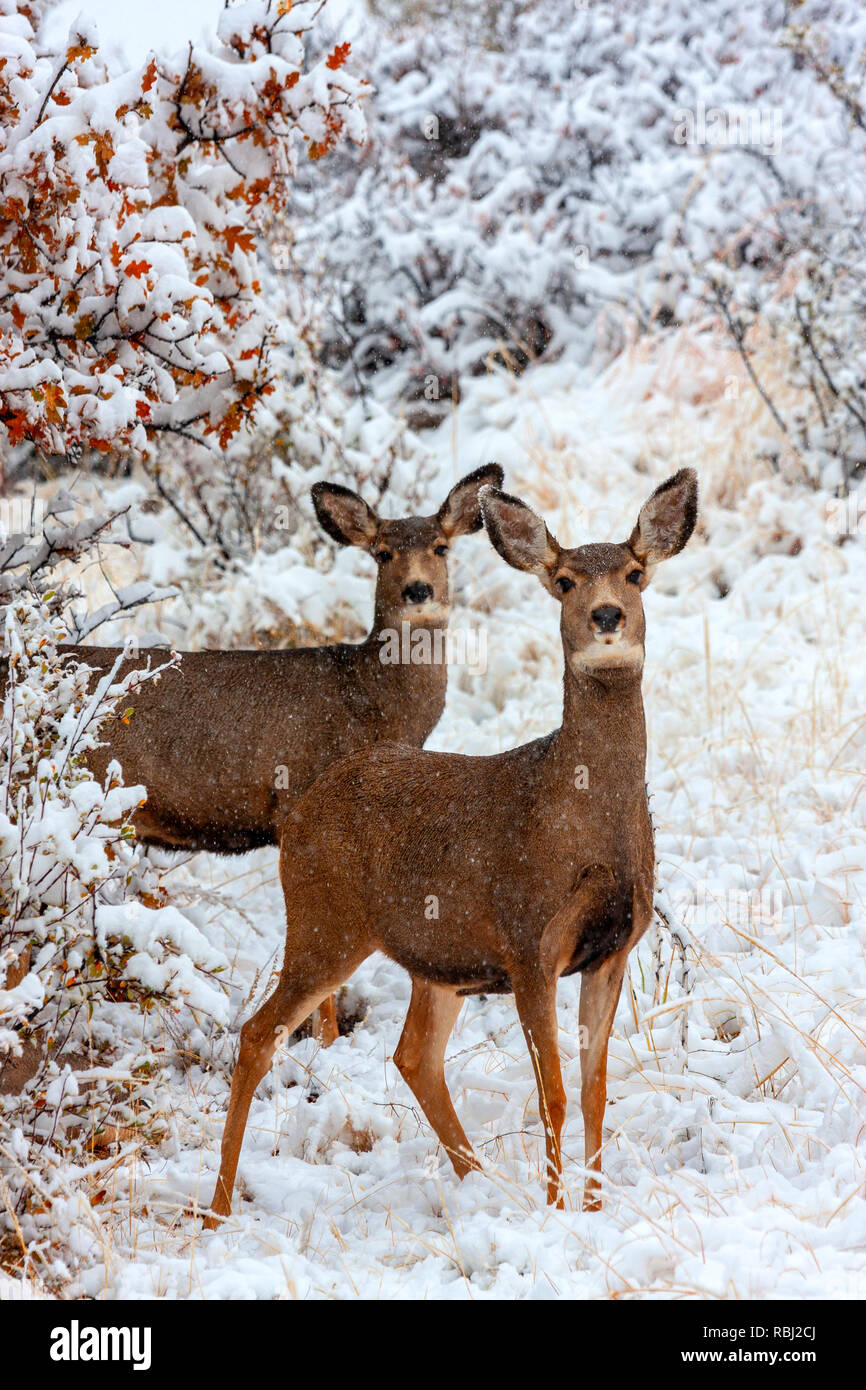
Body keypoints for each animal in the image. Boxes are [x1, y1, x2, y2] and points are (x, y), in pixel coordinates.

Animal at [44, 464, 504, 1042]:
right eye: (382, 553)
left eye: (441, 547)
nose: (418, 590)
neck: (371, 704)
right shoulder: (298, 802)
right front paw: (325, 1044)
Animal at [203, 467, 698, 1227]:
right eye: (562, 580)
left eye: (636, 574)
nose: (607, 616)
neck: (586, 814)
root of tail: (305, 807)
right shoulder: (528, 940)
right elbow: (553, 1093)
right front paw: (555, 1212)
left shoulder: (613, 949)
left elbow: (595, 1090)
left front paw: (591, 1210)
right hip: (325, 917)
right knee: (260, 1034)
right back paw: (218, 1209)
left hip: (436, 957)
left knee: (414, 1054)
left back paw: (478, 1185)